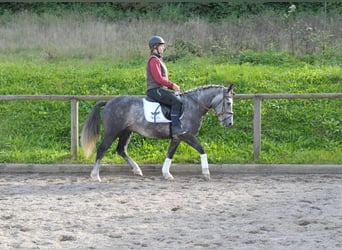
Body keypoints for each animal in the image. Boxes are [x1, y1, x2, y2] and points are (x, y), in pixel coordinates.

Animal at [81, 84, 234, 182]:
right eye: (228, 103)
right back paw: (95, 176)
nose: (229, 124)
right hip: (112, 132)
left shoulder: (177, 138)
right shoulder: (186, 135)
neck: (193, 106)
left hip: (126, 132)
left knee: (121, 150)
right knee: (102, 149)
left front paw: (166, 174)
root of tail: (108, 103)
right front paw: (206, 173)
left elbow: (170, 154)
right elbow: (201, 149)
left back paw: (137, 170)